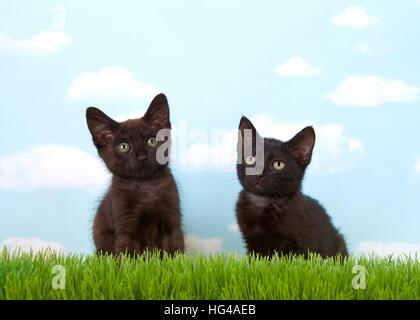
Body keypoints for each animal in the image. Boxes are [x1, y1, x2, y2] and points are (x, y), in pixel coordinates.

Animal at [85, 94, 184, 256]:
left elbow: (175, 253)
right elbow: (128, 256)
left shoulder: (172, 222)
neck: (145, 186)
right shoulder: (126, 228)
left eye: (152, 142)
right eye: (123, 147)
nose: (142, 157)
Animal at [236, 116, 348, 258]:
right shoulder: (252, 244)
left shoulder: (303, 246)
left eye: (278, 164)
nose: (258, 174)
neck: (264, 202)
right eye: (251, 159)